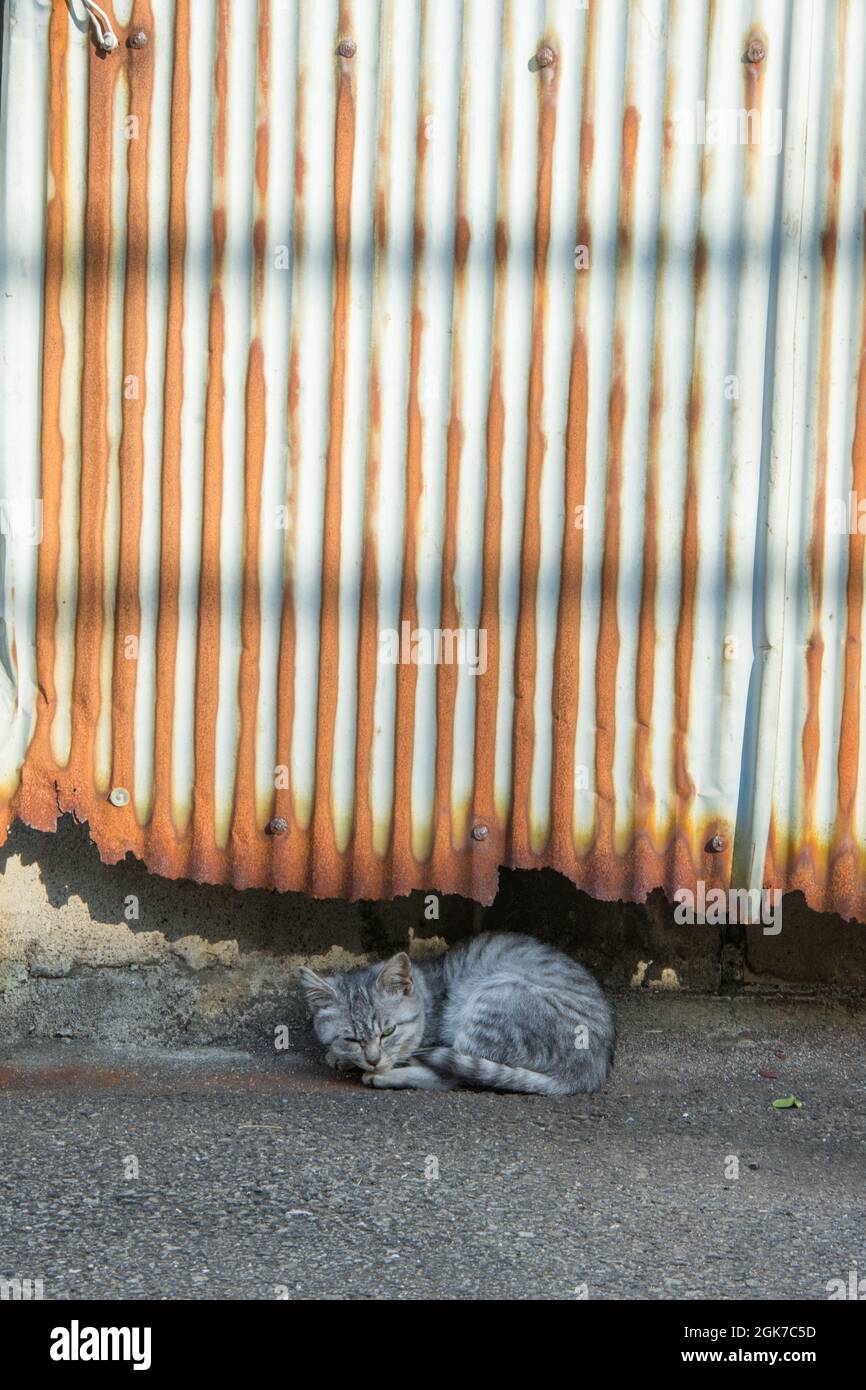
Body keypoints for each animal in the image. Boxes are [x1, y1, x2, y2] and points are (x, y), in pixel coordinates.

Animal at [297, 934, 617, 1095]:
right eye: (351, 1038)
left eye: (388, 1031)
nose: (373, 1060)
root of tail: (590, 1071)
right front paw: (339, 1056)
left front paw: (381, 1067)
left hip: (496, 996)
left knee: (455, 1077)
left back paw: (389, 1076)